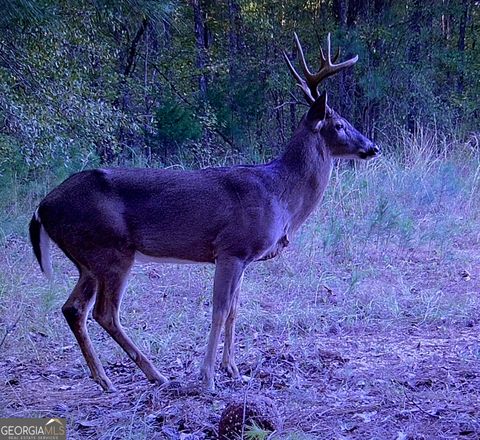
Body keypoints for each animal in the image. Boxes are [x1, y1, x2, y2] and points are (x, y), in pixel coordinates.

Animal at [29, 34, 378, 392]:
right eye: (340, 124)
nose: (372, 147)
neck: (280, 194)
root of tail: (43, 207)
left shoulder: (244, 258)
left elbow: (236, 309)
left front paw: (233, 369)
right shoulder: (231, 248)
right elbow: (220, 310)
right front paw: (208, 376)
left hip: (87, 259)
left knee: (74, 308)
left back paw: (105, 378)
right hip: (110, 249)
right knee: (104, 312)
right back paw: (154, 374)